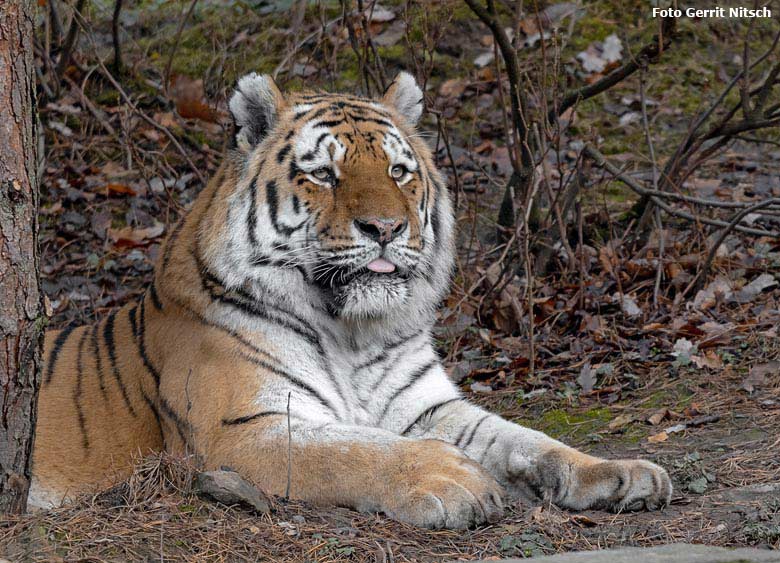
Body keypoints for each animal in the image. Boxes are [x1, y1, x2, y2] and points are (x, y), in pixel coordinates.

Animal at [30, 71, 672, 528]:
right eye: (323, 175)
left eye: (399, 171)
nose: (385, 228)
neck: (353, 333)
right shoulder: (242, 428)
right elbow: (358, 451)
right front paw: (456, 480)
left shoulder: (428, 407)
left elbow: (524, 439)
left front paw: (622, 474)